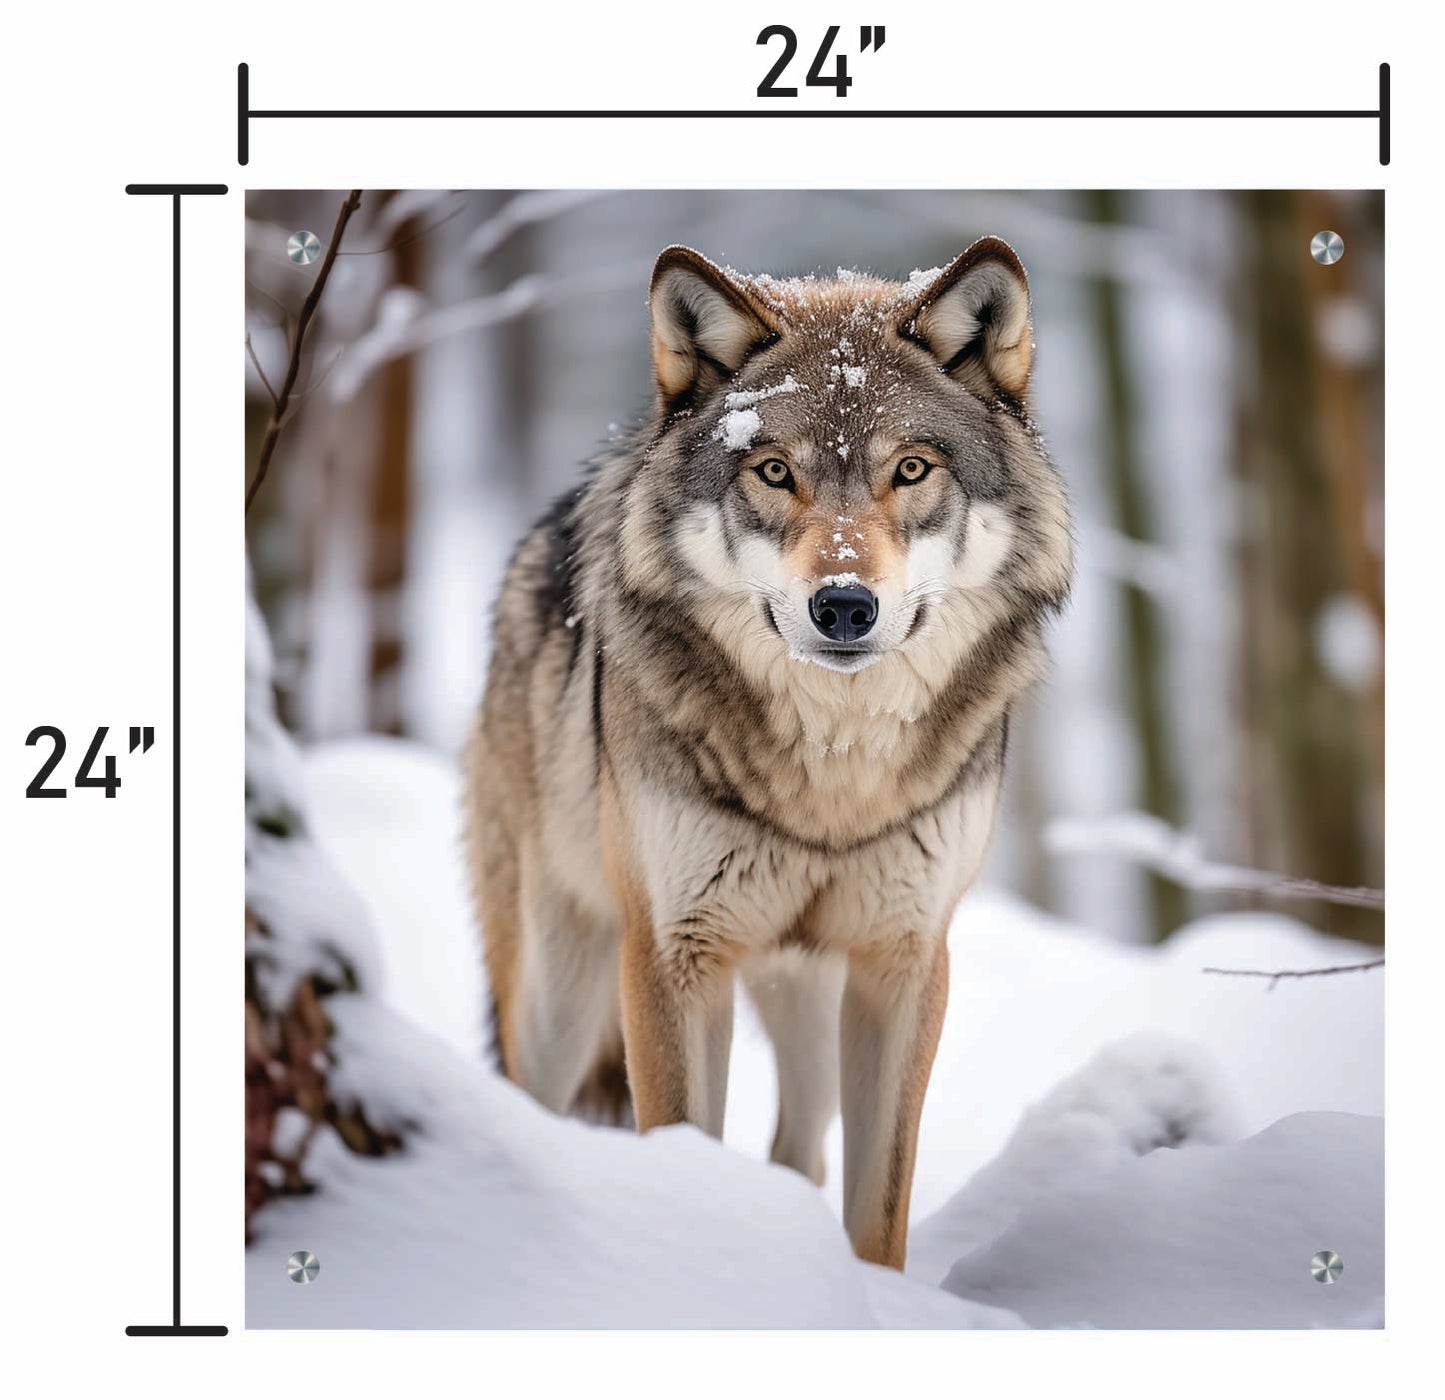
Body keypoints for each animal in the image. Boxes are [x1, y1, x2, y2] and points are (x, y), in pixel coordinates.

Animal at [463, 237, 1073, 1269]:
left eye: (911, 469)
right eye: (776, 471)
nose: (844, 606)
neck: (831, 774)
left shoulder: (904, 962)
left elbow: (878, 1208)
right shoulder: (671, 955)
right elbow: (679, 1150)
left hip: (809, 997)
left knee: (800, 1152)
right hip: (558, 993)